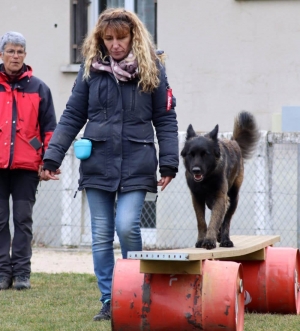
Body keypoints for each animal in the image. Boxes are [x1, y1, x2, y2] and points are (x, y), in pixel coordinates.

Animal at [180, 111, 260, 249]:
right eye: (191, 154)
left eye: (205, 154)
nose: (196, 170)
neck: (206, 180)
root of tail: (234, 142)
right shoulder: (197, 198)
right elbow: (201, 221)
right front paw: (201, 240)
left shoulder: (220, 197)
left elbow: (215, 220)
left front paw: (209, 240)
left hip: (233, 197)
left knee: (226, 220)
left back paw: (225, 240)